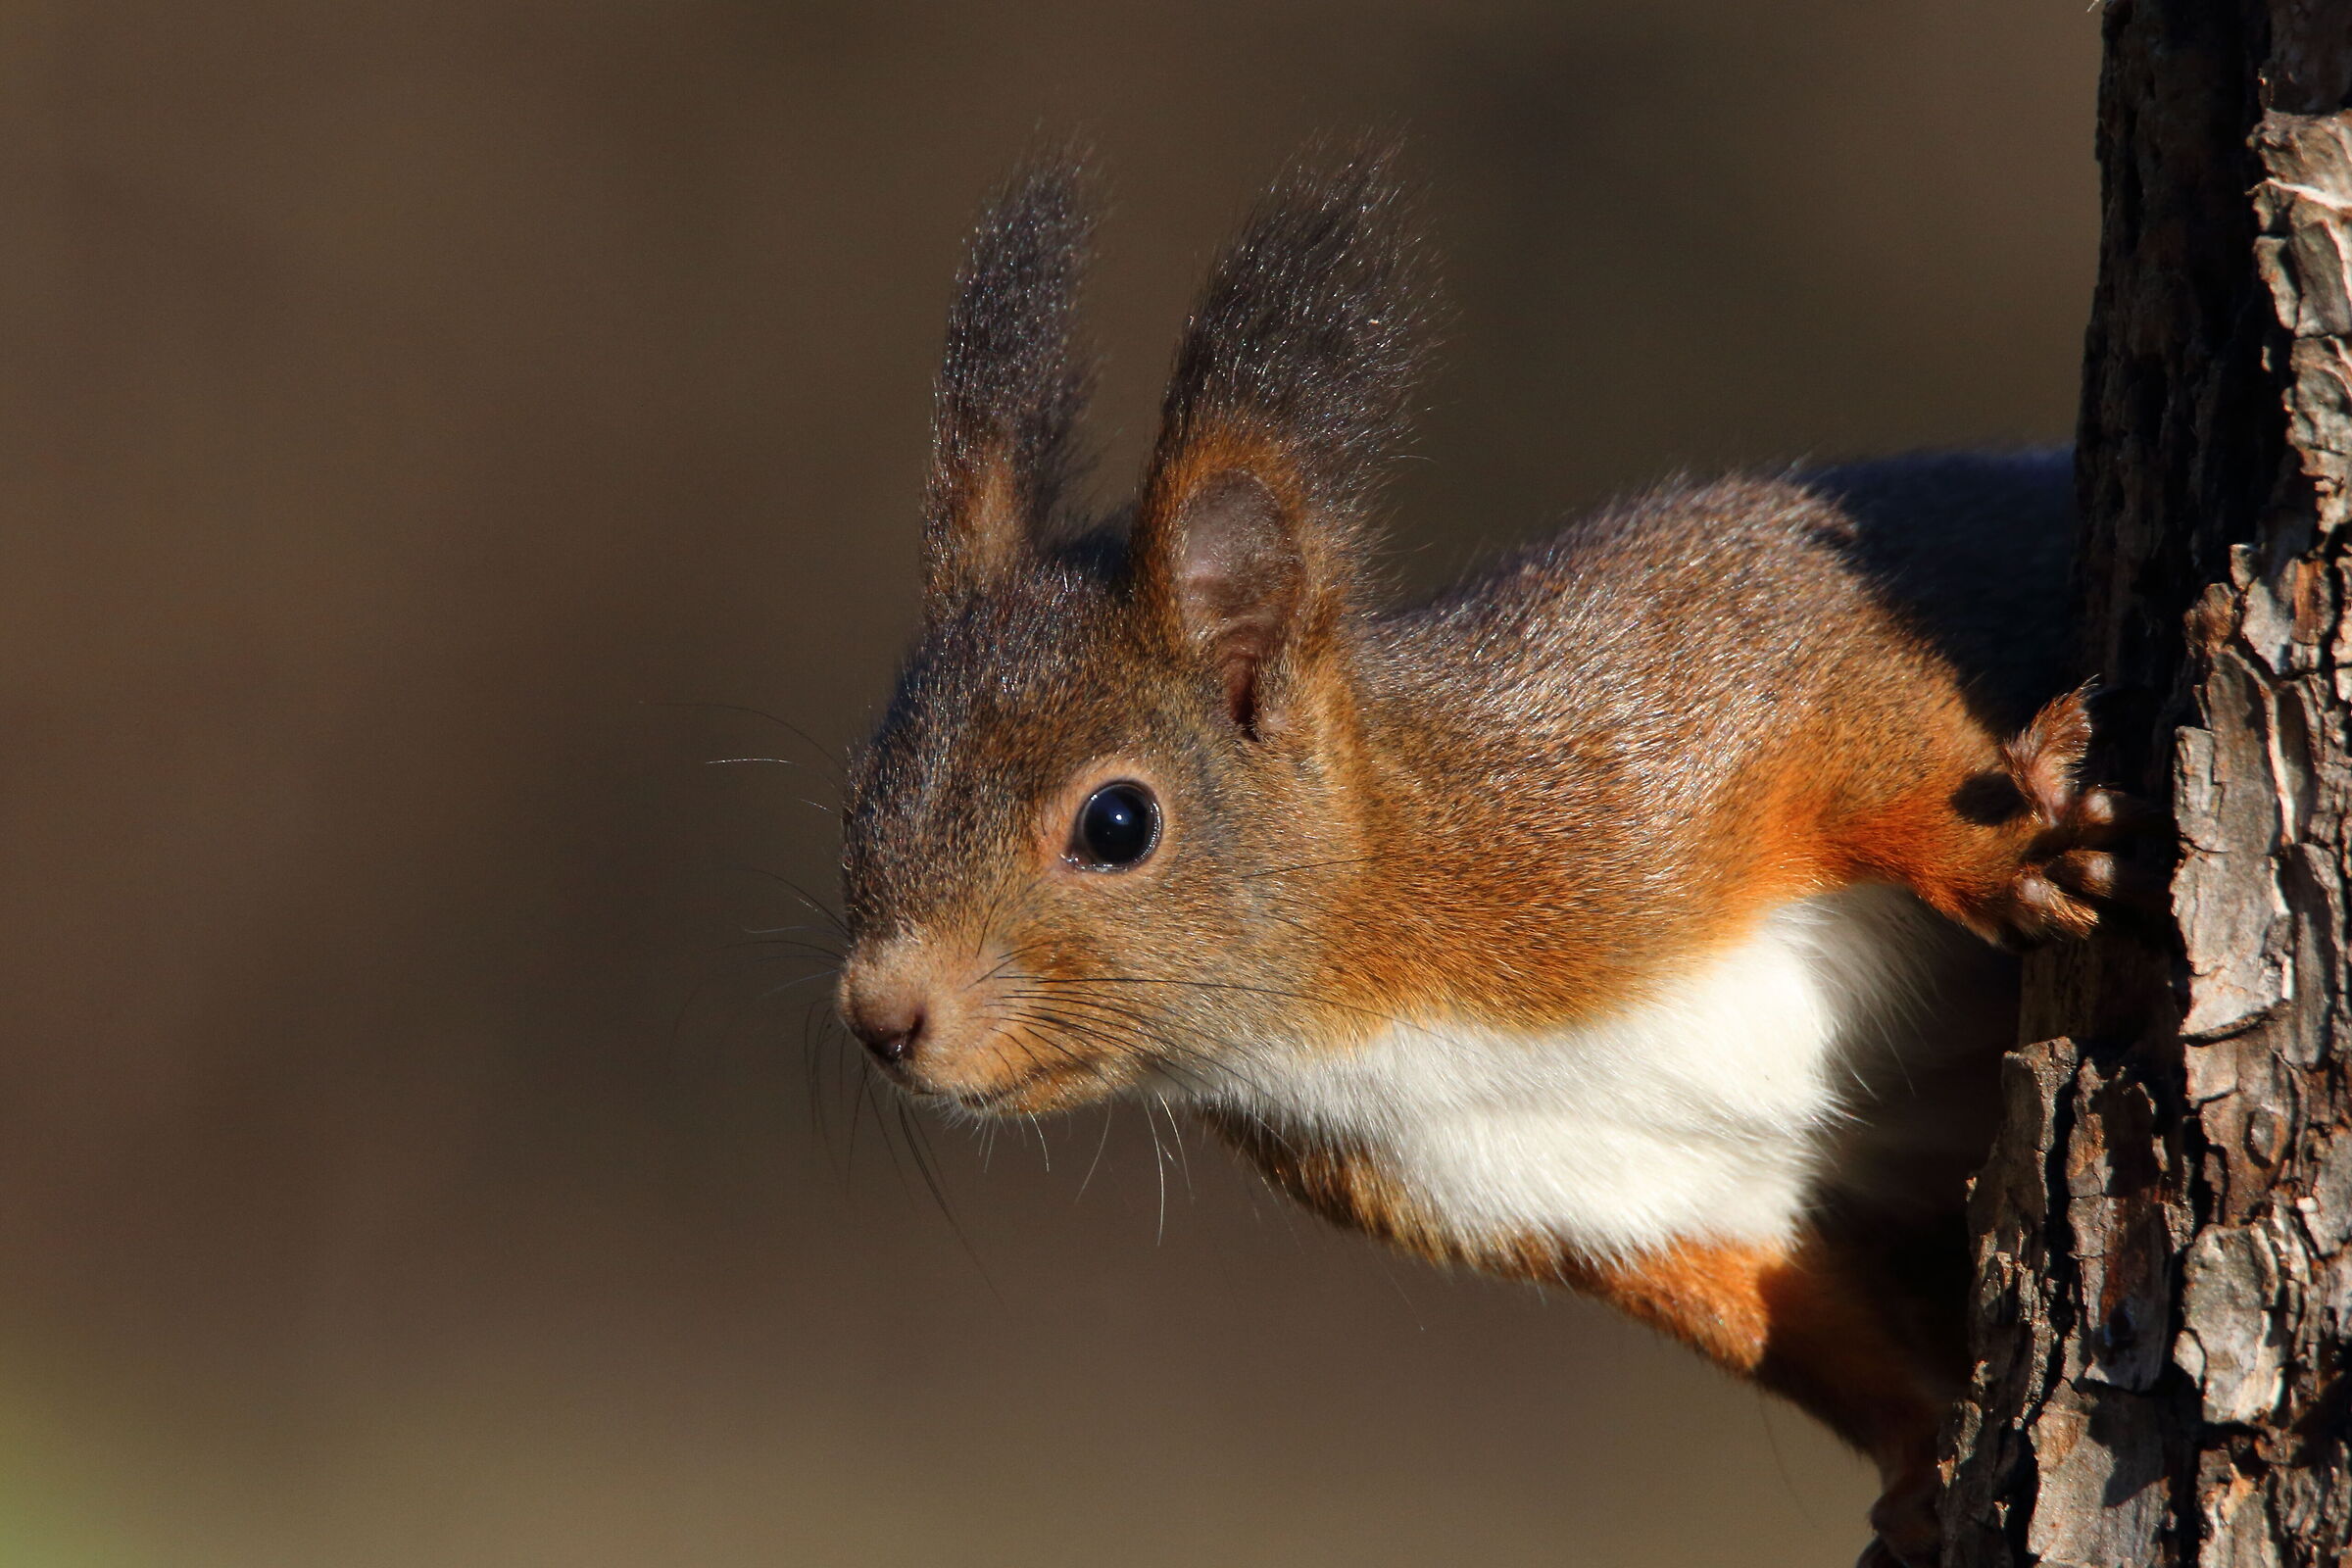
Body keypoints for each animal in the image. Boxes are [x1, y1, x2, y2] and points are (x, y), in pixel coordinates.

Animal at [834, 148, 2144, 1568]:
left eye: (1116, 825)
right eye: (863, 790)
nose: (881, 1016)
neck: (1378, 985)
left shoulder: (1674, 713)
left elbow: (1860, 709)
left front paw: (1998, 846)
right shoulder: (1593, 1194)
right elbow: (1790, 1321)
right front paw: (1918, 1467)